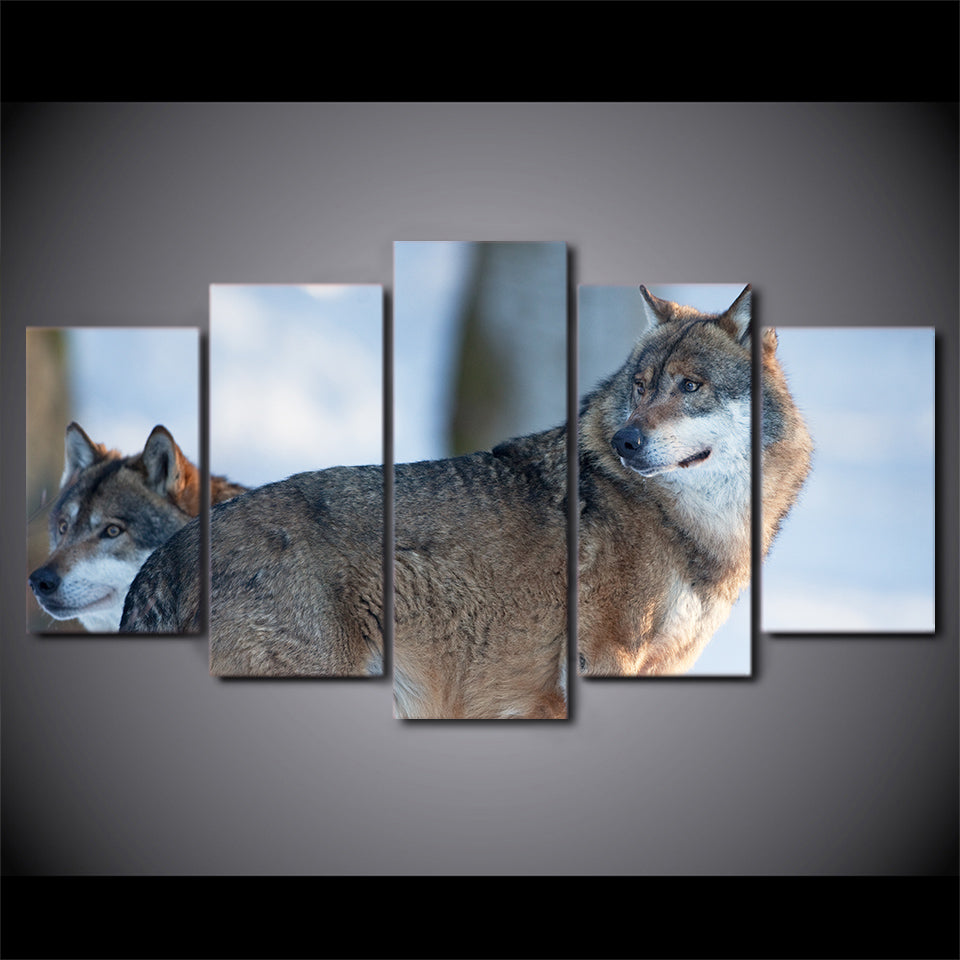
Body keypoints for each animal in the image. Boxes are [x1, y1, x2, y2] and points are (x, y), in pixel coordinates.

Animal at [120, 284, 811, 715]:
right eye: (640, 386)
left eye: (690, 386)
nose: (625, 441)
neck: (690, 528)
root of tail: (169, 556)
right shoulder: (605, 660)